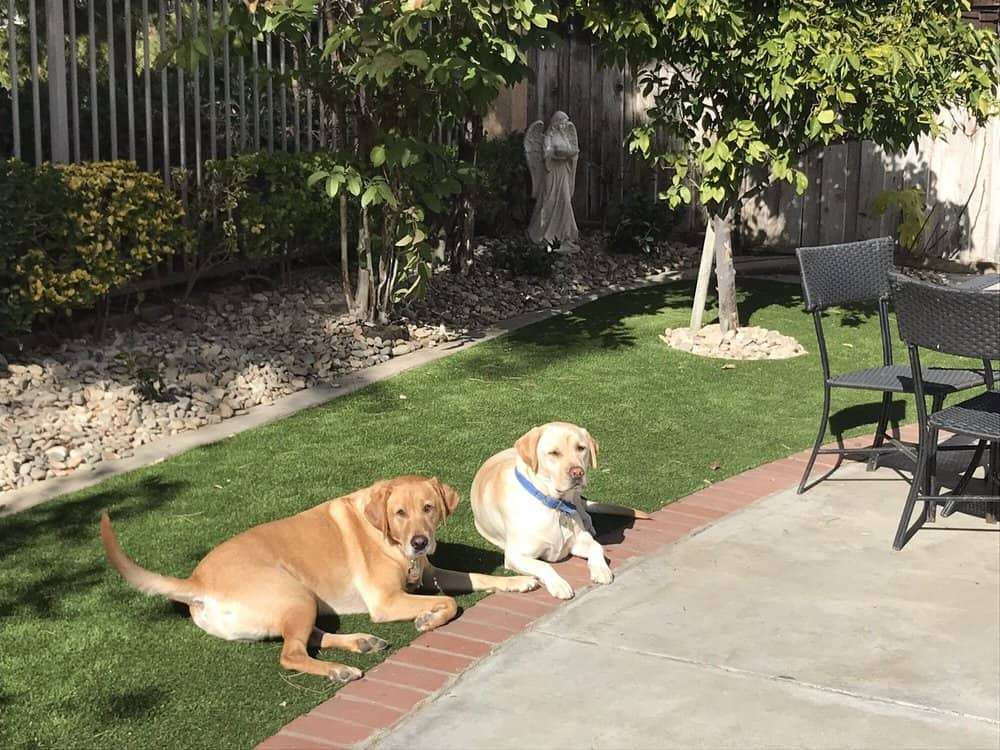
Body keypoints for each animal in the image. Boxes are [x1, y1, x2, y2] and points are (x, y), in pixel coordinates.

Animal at [102, 478, 540, 684]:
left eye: (429, 508)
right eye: (399, 512)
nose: (420, 541)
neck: (386, 537)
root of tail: (197, 581)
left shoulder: (431, 574)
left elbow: (478, 577)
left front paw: (518, 581)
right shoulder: (386, 601)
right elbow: (452, 603)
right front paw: (428, 619)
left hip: (299, 602)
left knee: (306, 638)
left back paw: (359, 644)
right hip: (293, 592)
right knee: (291, 653)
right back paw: (338, 670)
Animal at [470, 426, 648, 604]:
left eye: (581, 448)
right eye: (554, 453)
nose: (577, 472)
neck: (556, 505)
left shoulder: (578, 540)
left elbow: (597, 547)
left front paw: (601, 570)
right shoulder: (515, 556)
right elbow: (543, 565)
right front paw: (560, 585)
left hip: (577, 497)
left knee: (584, 510)